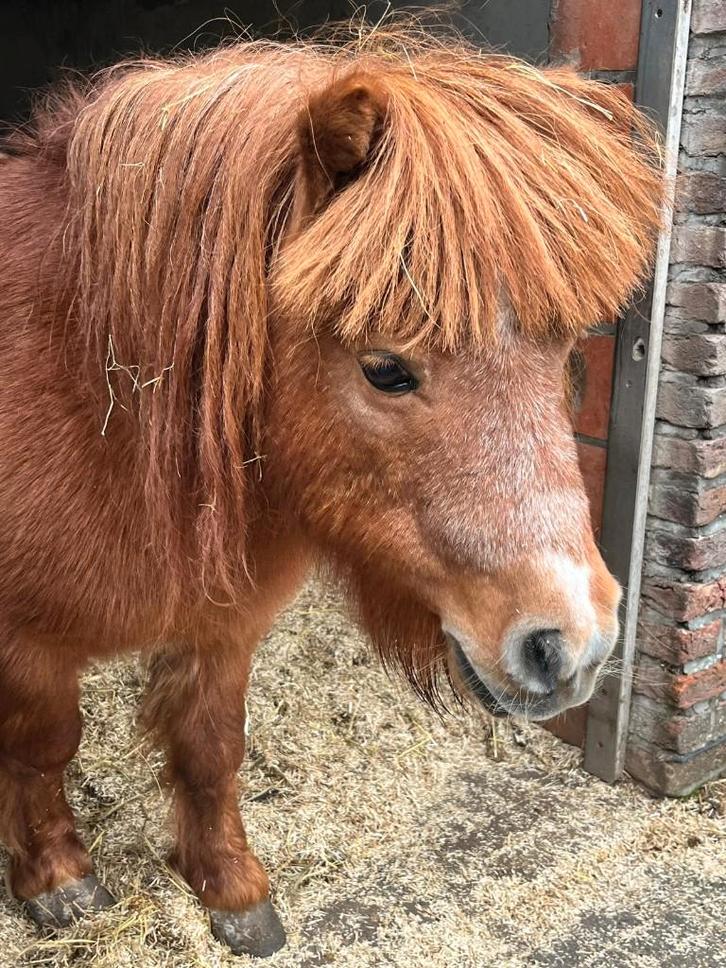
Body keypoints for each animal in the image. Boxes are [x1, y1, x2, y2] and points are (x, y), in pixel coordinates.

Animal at [0, 26, 661, 958]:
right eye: (385, 368)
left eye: (564, 350)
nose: (574, 644)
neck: (100, 399)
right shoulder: (28, 646)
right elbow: (42, 748)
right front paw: (56, 877)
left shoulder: (220, 629)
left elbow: (211, 751)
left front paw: (231, 889)